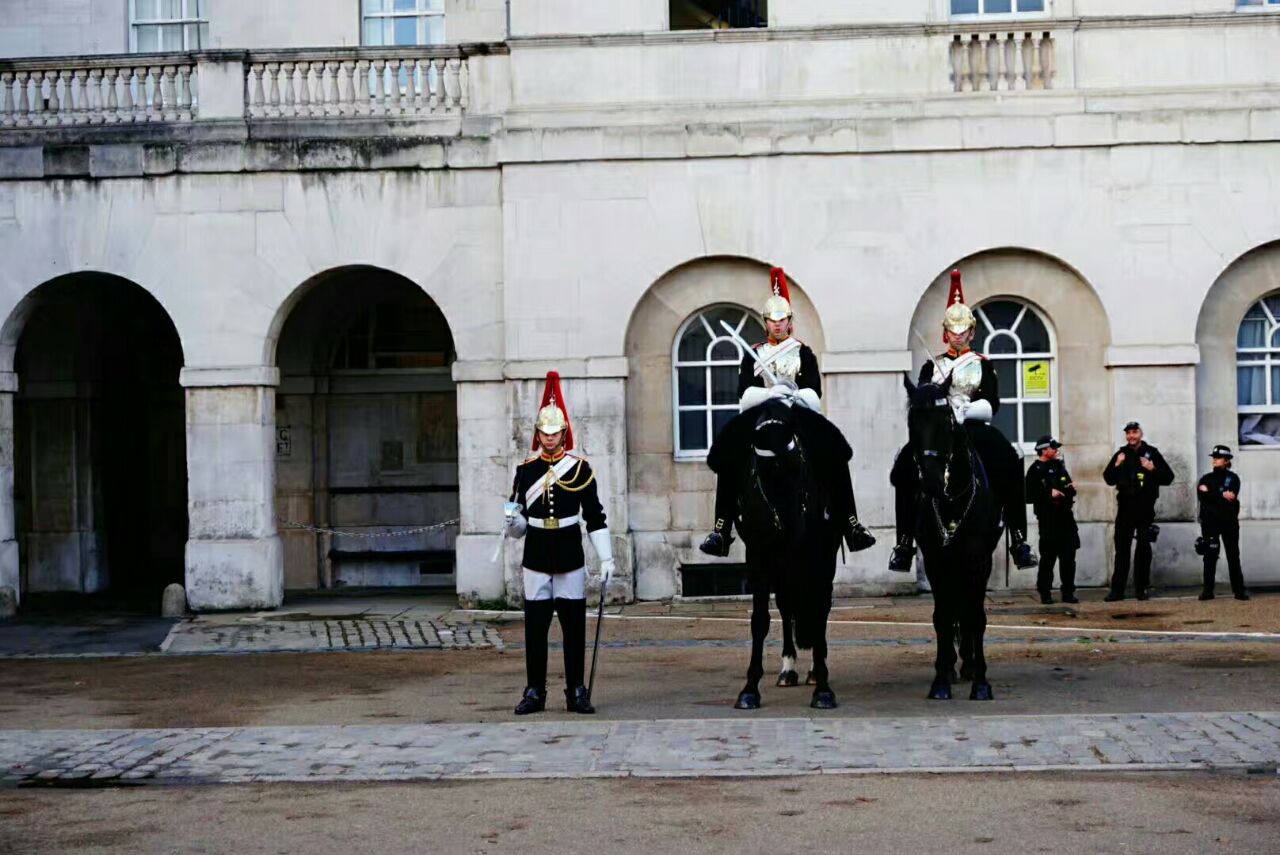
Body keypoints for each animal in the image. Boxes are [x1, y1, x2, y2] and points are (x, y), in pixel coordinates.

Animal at [706, 396, 844, 711]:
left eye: (797, 465)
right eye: (760, 471)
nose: (788, 530)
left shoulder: (819, 558)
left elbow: (818, 610)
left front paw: (823, 688)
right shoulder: (759, 557)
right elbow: (760, 620)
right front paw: (749, 690)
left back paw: (813, 670)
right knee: (785, 605)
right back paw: (788, 668)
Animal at [901, 373, 998, 701]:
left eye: (946, 419)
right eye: (912, 421)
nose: (930, 482)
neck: (953, 499)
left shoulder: (979, 561)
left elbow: (976, 616)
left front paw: (981, 683)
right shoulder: (936, 560)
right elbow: (942, 616)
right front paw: (941, 680)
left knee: (968, 609)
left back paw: (969, 665)